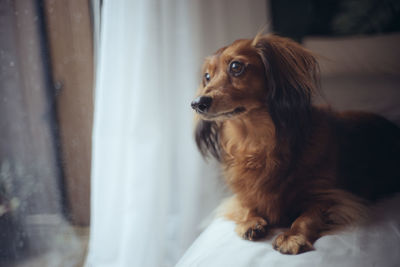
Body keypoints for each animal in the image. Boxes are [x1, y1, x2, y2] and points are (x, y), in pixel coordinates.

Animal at [190, 34, 400, 256]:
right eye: (207, 77)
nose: (197, 103)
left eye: (236, 66)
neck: (258, 144)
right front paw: (250, 221)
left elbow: (307, 217)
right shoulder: (242, 195)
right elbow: (246, 204)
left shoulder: (332, 197)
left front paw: (292, 236)